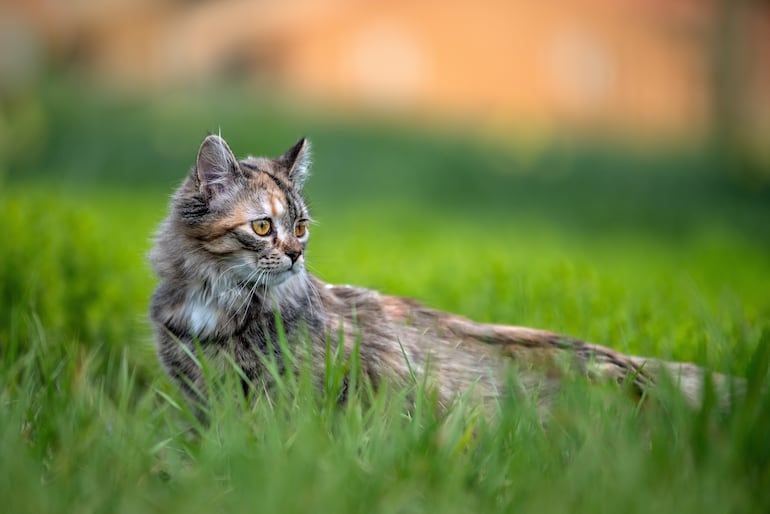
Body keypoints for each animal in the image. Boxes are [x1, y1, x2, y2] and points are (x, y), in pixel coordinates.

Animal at [148, 134, 732, 414]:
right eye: (264, 226)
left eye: (302, 226)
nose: (294, 256)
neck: (216, 303)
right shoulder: (197, 389)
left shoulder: (297, 390)